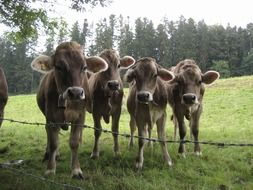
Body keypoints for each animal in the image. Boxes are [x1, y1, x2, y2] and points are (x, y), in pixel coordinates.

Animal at [30, 40, 107, 179]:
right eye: (58, 67)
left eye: (84, 67)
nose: (75, 92)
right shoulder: (51, 117)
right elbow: (54, 142)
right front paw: (50, 169)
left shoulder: (80, 116)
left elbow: (74, 142)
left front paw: (76, 170)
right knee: (48, 133)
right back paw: (50, 154)